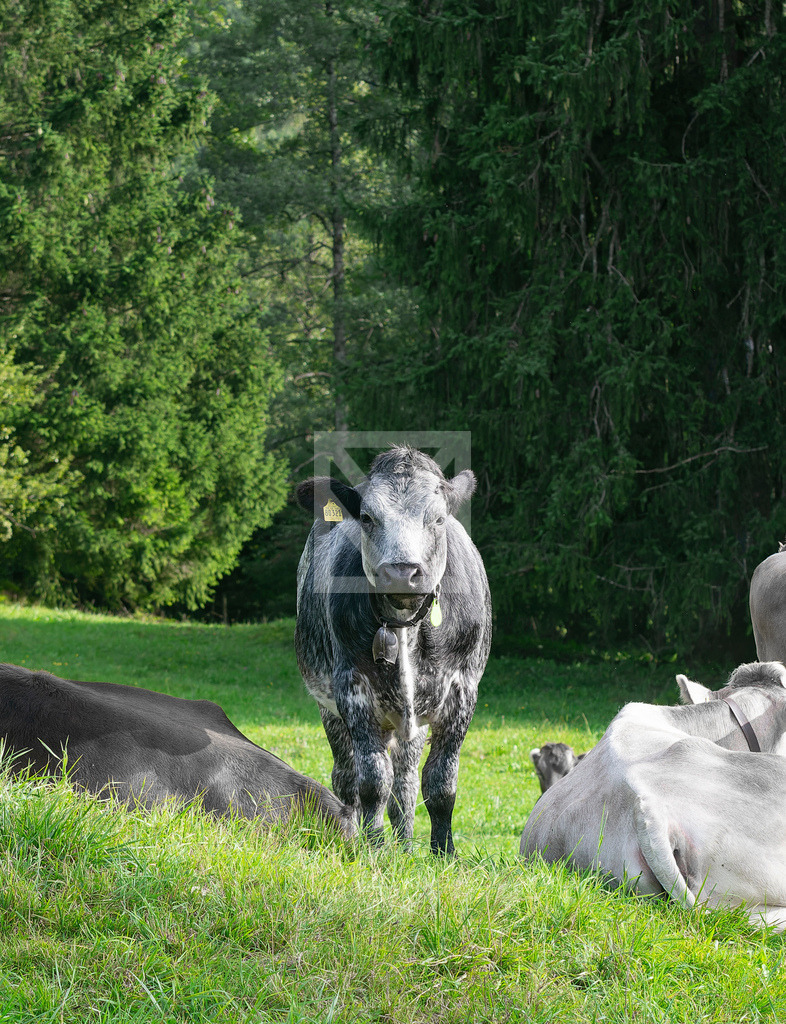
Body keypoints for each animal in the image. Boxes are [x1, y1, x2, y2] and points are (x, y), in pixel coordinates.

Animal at [295, 445, 492, 855]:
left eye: (438, 518)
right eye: (367, 518)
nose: (401, 572)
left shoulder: (463, 689)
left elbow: (440, 782)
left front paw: (442, 852)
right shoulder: (351, 687)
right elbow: (372, 780)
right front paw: (373, 847)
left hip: (410, 721)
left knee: (406, 783)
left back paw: (405, 844)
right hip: (330, 709)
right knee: (348, 777)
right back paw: (359, 833)